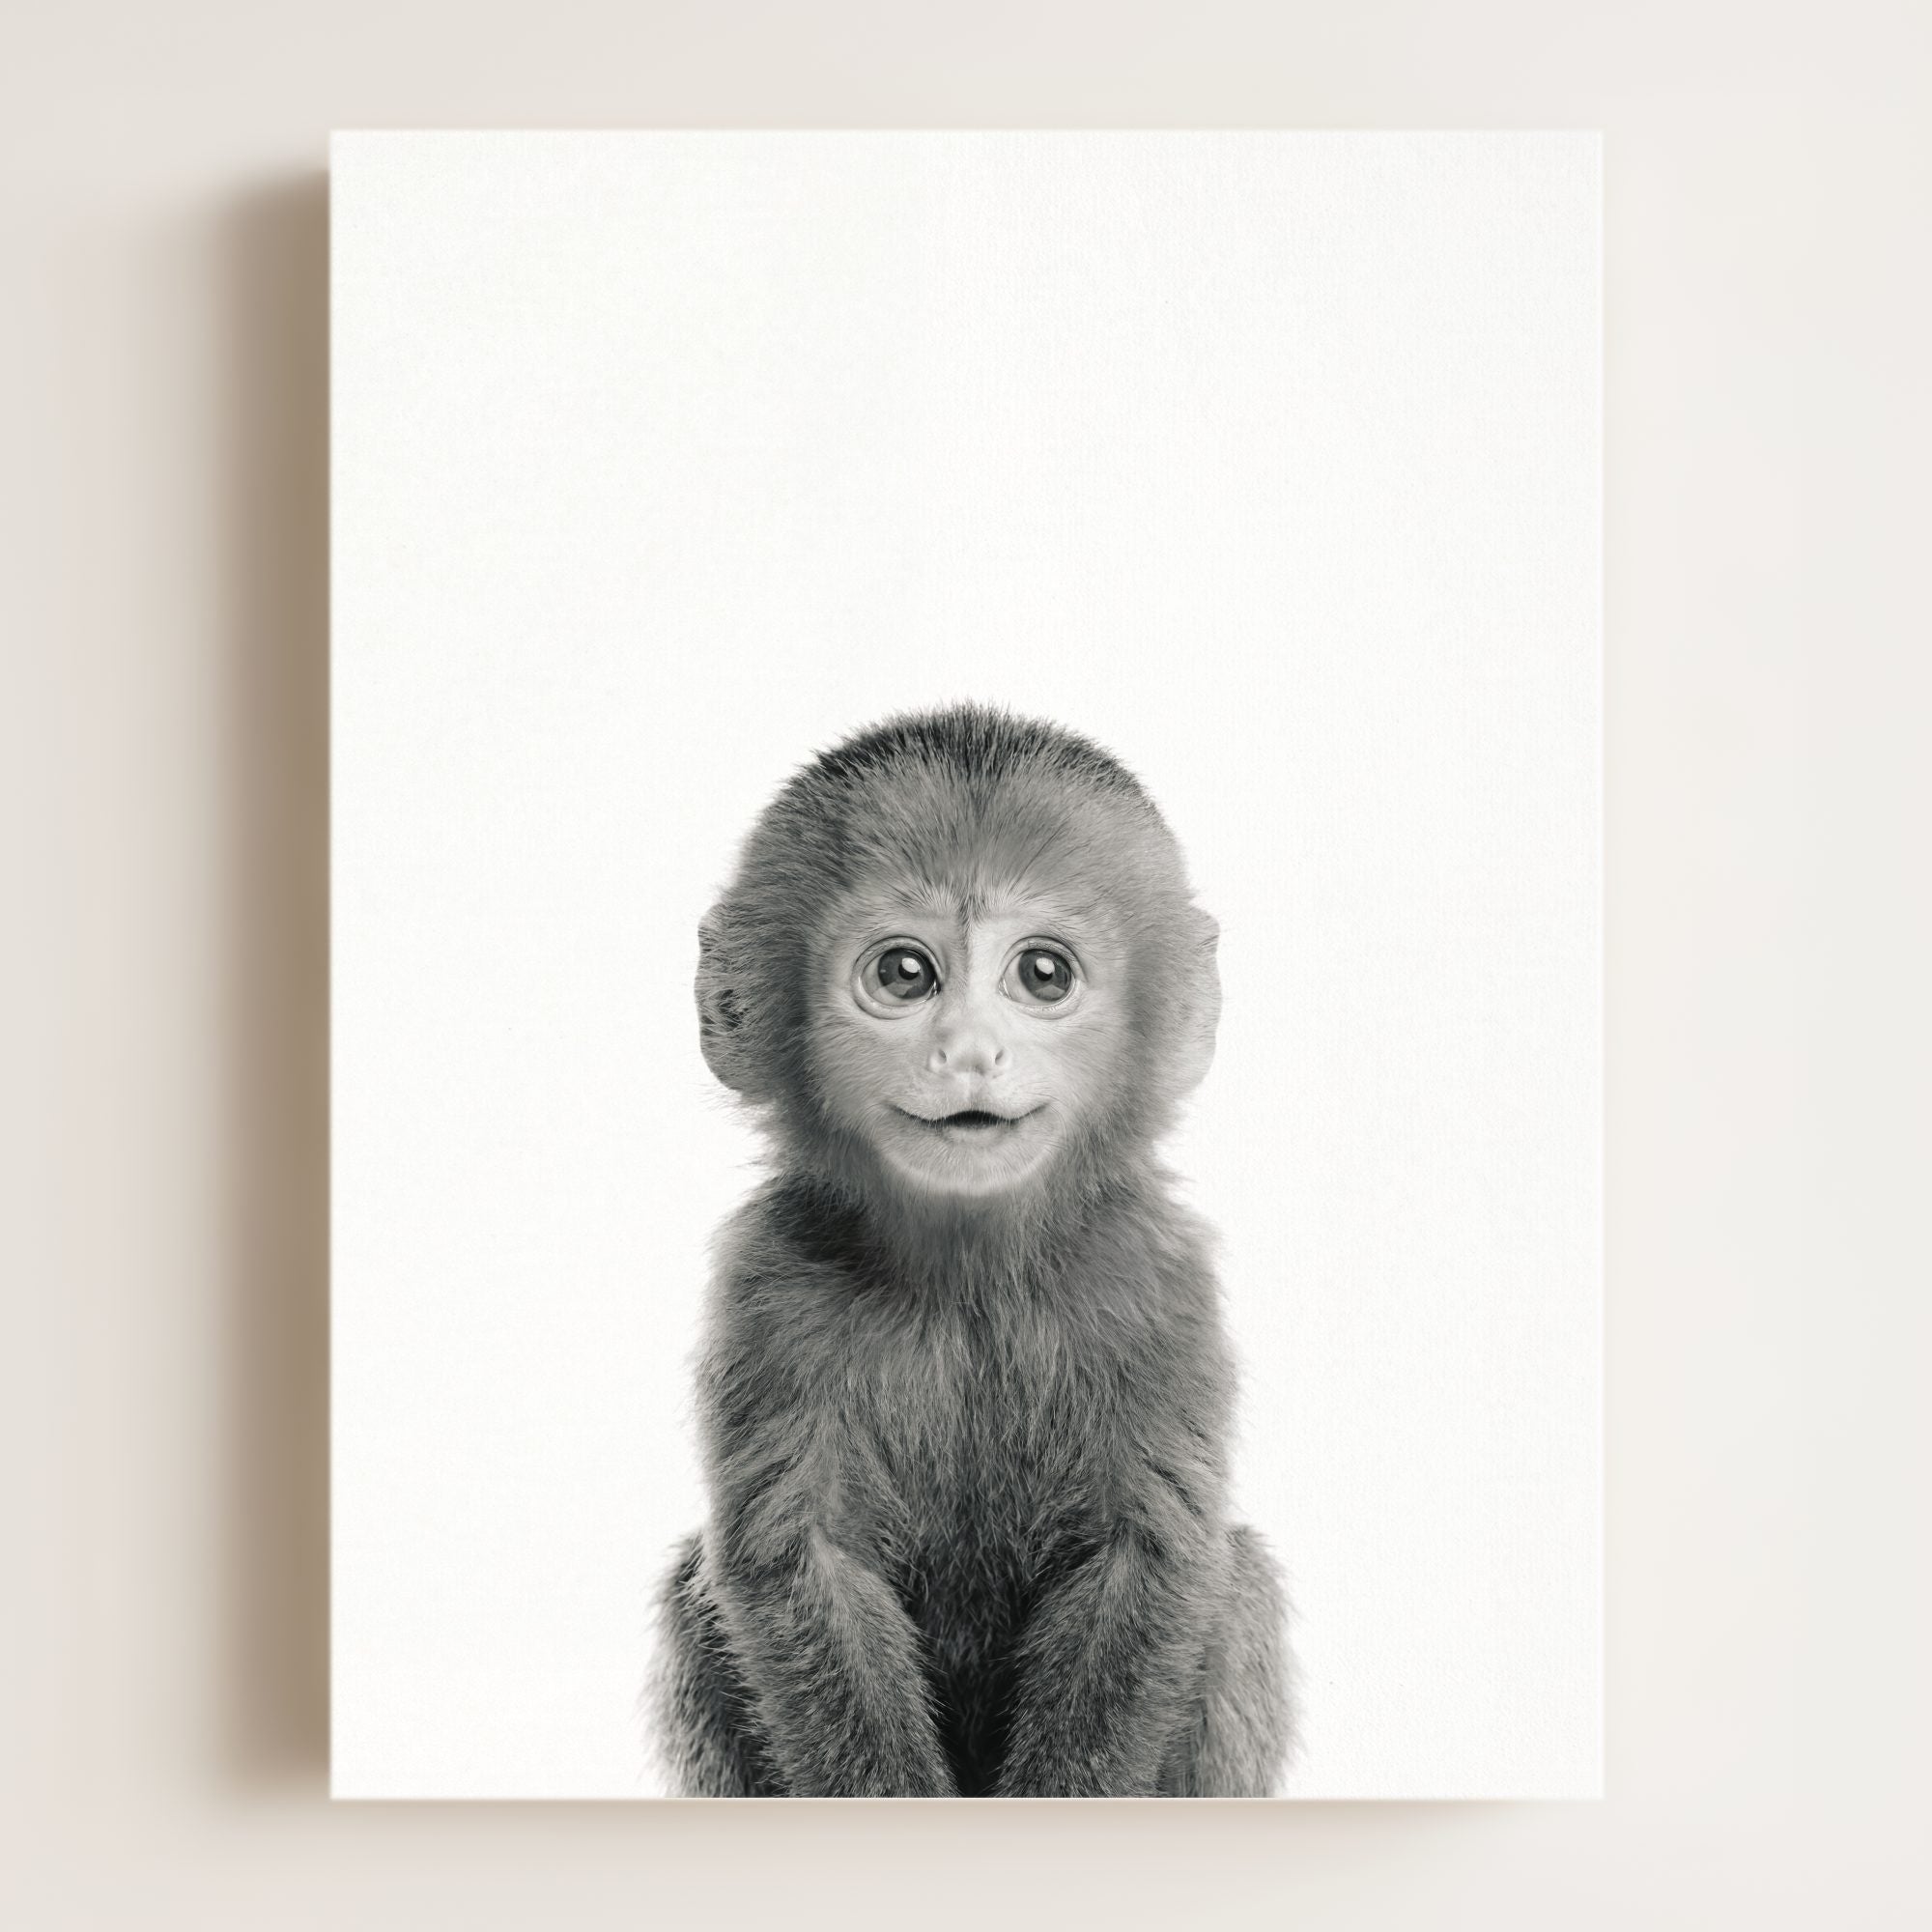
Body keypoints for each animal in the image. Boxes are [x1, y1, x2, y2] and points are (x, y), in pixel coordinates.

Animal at [649, 704, 1294, 1797]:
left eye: (1042, 974)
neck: (970, 1280)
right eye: (904, 974)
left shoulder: (1157, 1277)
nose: (968, 1052)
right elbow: (799, 1563)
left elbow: (1147, 1558)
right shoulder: (769, 1283)